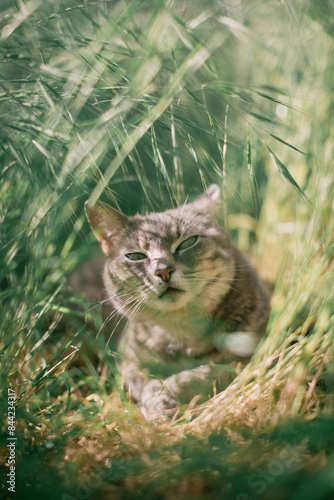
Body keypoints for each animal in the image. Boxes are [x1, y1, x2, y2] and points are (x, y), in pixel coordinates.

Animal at [85, 186, 270, 420]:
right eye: (135, 256)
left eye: (187, 242)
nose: (163, 270)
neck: (182, 329)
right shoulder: (128, 361)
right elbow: (143, 380)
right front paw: (158, 403)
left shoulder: (249, 355)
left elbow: (205, 373)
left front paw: (170, 392)